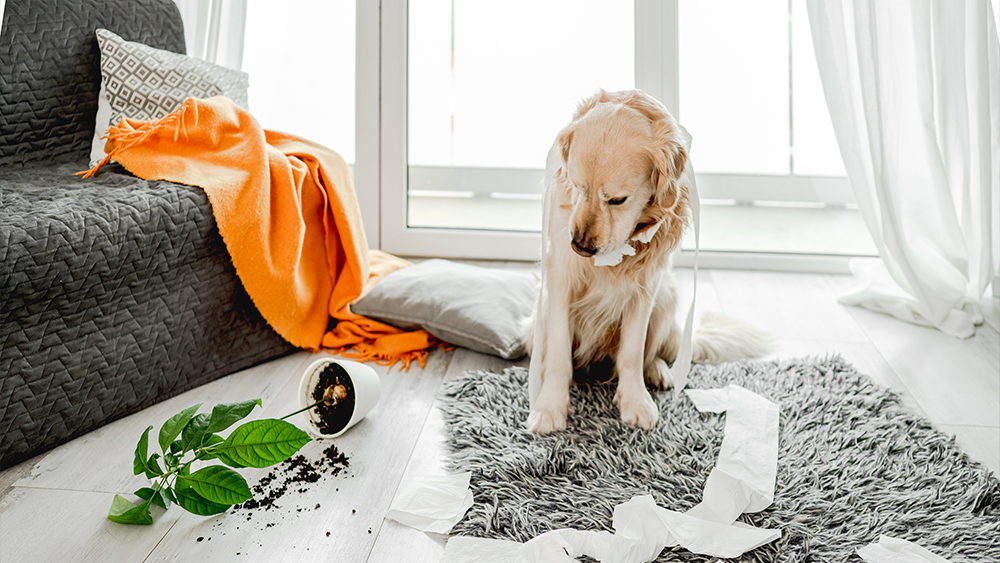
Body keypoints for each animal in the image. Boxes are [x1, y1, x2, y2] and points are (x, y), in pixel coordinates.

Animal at [528, 88, 768, 434]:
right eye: (576, 186)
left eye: (617, 200)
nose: (581, 247)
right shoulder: (561, 280)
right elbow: (559, 353)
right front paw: (549, 407)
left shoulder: (645, 286)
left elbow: (632, 352)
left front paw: (635, 400)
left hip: (666, 296)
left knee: (649, 352)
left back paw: (657, 371)